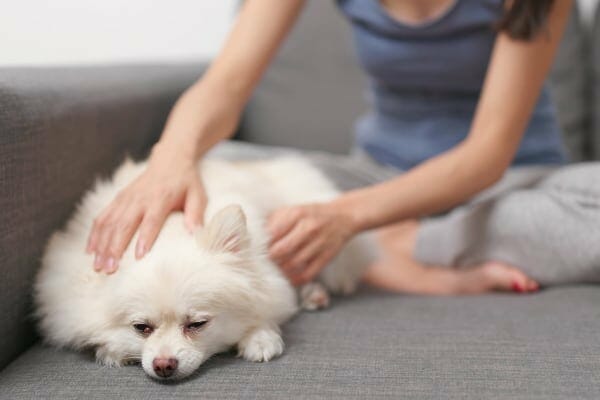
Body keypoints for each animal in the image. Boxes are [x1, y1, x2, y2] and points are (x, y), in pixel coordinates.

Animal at [35, 155, 372, 380]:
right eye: (141, 328)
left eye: (197, 324)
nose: (164, 365)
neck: (167, 228)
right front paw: (112, 350)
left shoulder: (269, 275)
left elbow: (270, 304)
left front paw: (261, 338)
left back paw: (315, 293)